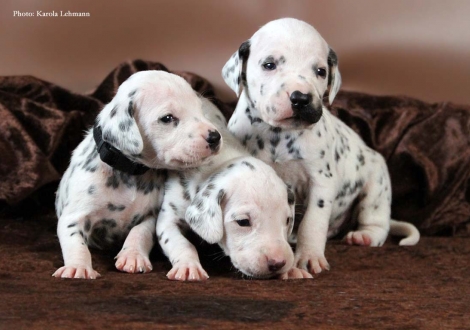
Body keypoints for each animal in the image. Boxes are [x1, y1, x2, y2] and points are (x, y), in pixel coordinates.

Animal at [52, 71, 221, 280]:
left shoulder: (149, 216)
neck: (128, 171)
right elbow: (76, 244)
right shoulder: (73, 217)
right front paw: (78, 267)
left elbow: (139, 233)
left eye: (199, 109)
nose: (215, 137)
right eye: (167, 118)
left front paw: (133, 255)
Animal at [156, 98, 306, 282]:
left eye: (287, 220)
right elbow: (181, 242)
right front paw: (188, 265)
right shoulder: (168, 219)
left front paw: (292, 270)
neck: (219, 162)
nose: (278, 262)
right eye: (243, 222)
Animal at [222, 17, 420, 276]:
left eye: (320, 71)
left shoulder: (321, 183)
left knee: (377, 221)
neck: (278, 135)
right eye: (269, 64)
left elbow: (312, 222)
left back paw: (365, 235)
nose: (301, 98)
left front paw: (309, 257)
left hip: (376, 185)